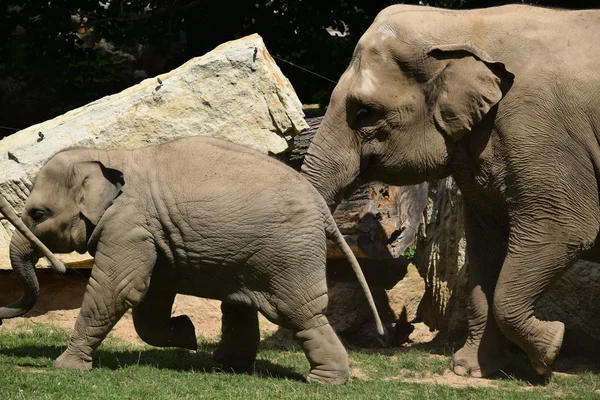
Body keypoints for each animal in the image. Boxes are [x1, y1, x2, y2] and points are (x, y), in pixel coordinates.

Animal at [0, 137, 384, 384]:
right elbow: (149, 298)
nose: (60, 267)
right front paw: (188, 334)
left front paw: (65, 367)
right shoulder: (152, 234)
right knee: (240, 305)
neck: (108, 154)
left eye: (38, 214)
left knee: (301, 313)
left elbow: (118, 289)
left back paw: (324, 381)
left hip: (290, 253)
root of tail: (323, 208)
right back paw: (224, 368)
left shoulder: (130, 225)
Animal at [302, 3, 600, 378]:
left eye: (365, 111)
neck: (463, 22)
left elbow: (565, 231)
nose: (384, 337)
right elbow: (485, 247)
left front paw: (551, 349)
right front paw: (469, 370)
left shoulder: (544, 135)